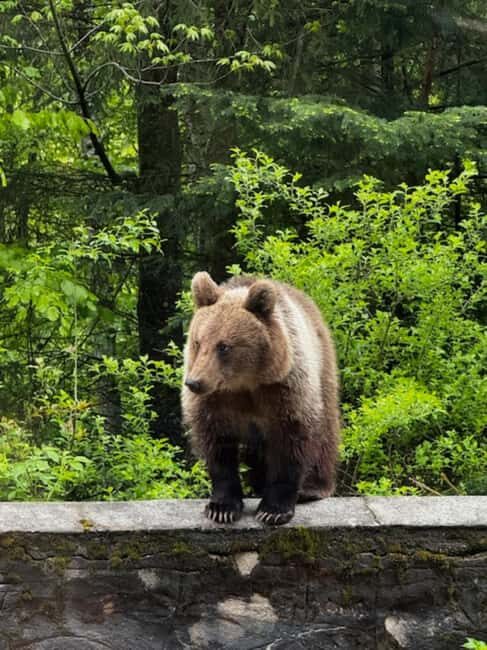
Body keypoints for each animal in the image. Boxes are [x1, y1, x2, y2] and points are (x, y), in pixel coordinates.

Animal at [182, 272, 340, 525]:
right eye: (198, 342)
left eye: (224, 346)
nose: (194, 382)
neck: (245, 383)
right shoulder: (215, 401)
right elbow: (217, 446)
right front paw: (221, 507)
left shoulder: (284, 390)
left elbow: (291, 443)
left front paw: (273, 510)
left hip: (321, 365)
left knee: (325, 428)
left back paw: (313, 488)